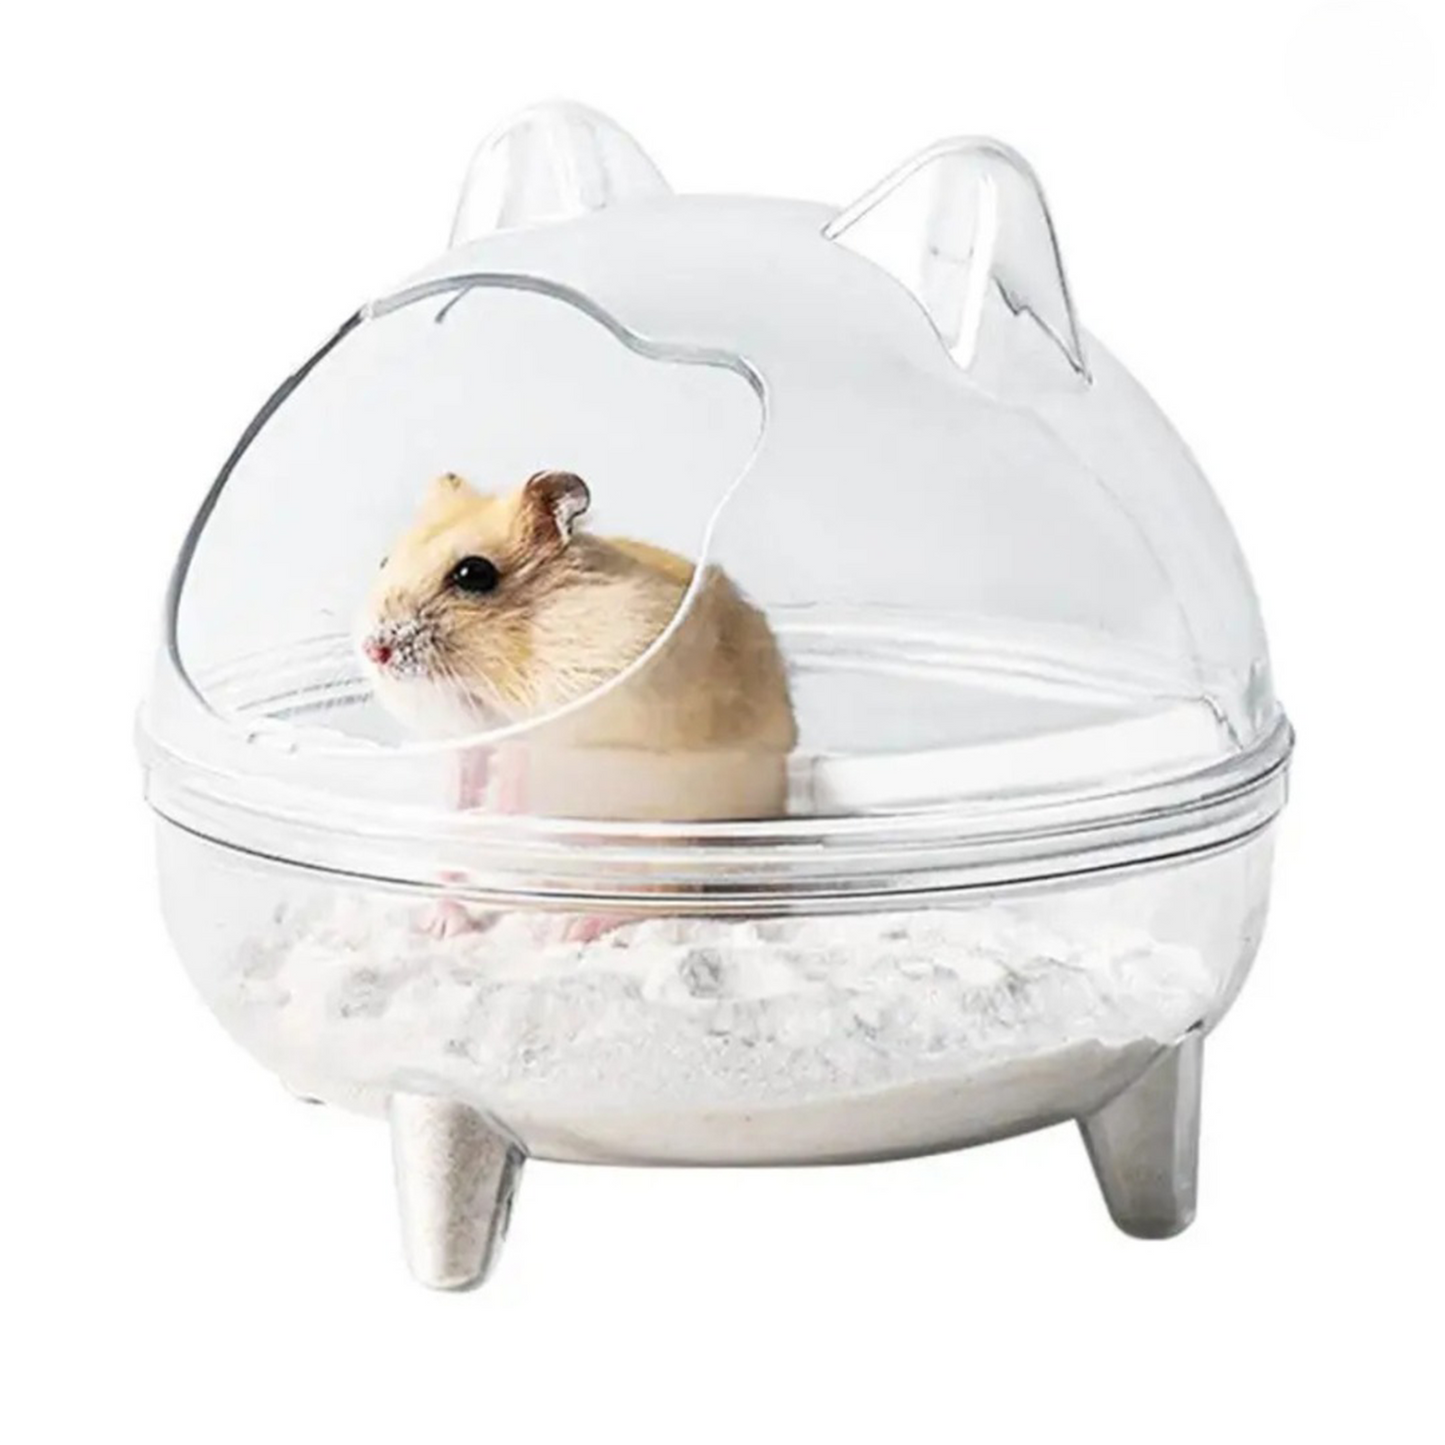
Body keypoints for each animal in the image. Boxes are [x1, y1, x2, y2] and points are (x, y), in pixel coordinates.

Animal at [359, 470, 797, 822]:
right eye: (383, 561)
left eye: (473, 573)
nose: (373, 652)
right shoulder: (466, 735)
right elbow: (469, 765)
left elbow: (521, 764)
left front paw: (501, 811)